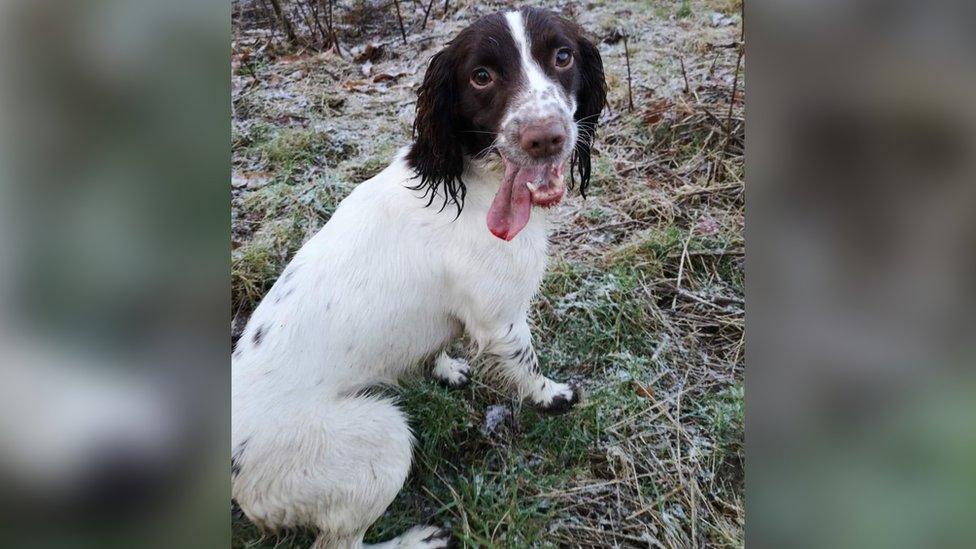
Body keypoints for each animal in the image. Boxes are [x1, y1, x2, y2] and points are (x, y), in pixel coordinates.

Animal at [234, 8, 608, 548]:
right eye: (481, 76)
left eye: (563, 56)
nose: (546, 137)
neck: (475, 179)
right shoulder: (500, 320)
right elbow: (526, 364)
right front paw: (551, 397)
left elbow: (436, 344)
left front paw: (446, 368)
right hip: (379, 438)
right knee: (340, 542)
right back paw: (416, 540)